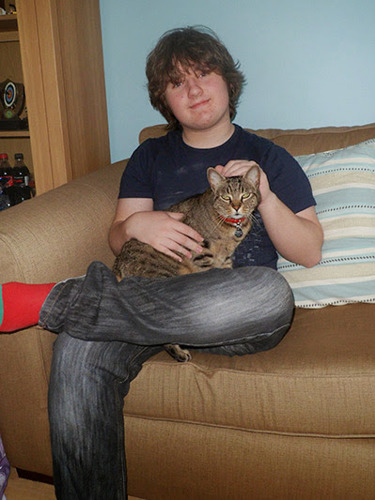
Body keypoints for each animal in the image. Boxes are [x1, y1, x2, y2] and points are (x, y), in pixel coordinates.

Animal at [114, 166, 262, 362]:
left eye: (245, 195)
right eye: (226, 197)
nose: (236, 207)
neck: (231, 228)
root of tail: (118, 262)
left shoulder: (225, 259)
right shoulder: (201, 254)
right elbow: (213, 274)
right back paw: (179, 353)